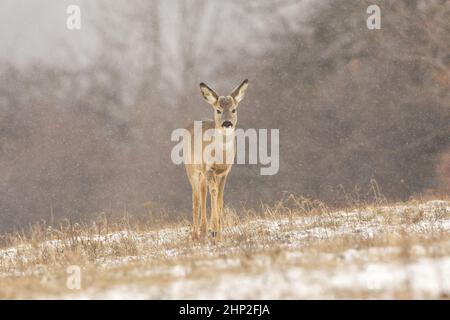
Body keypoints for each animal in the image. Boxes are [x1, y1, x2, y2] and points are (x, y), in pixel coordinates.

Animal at [185, 80, 251, 240]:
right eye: (218, 110)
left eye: (234, 109)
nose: (227, 123)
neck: (221, 157)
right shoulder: (209, 169)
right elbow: (214, 193)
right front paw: (214, 230)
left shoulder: (224, 172)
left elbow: (220, 198)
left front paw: (219, 233)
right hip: (192, 170)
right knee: (196, 198)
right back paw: (195, 234)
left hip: (202, 175)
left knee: (202, 193)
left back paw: (203, 230)